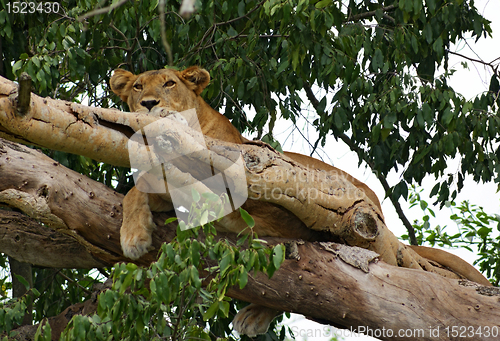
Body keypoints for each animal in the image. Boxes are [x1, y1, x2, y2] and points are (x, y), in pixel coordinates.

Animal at [109, 65, 488, 334]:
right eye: (138, 87)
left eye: (170, 83)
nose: (148, 104)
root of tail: (378, 207)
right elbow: (136, 191)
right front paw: (134, 234)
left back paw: (253, 316)